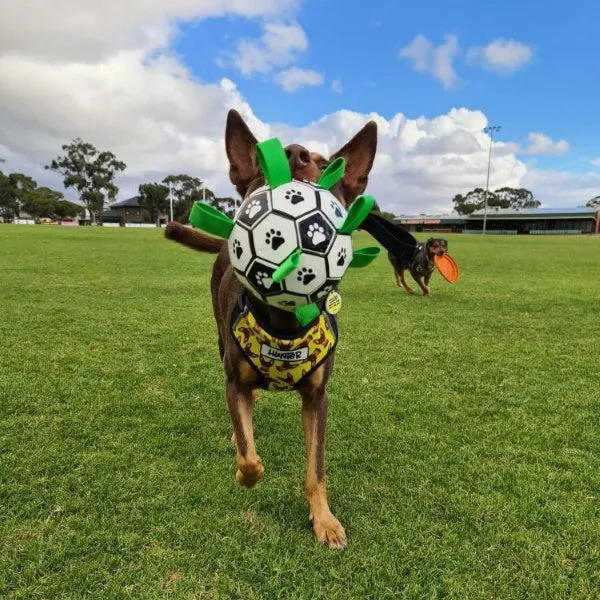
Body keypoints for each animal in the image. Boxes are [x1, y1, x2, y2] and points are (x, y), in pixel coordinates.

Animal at [165, 108, 376, 548]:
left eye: (321, 161)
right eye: (262, 164)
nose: (293, 152)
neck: (284, 322)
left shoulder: (318, 398)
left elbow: (316, 470)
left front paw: (324, 520)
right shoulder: (235, 380)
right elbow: (249, 455)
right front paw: (247, 471)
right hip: (219, 336)